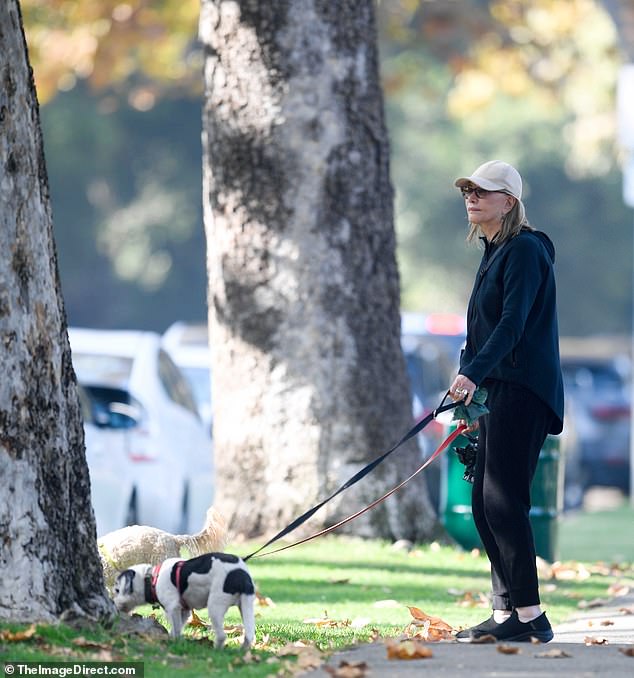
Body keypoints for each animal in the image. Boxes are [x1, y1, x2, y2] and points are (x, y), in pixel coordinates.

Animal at [113, 552, 254, 648]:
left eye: (117, 590)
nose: (114, 604)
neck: (150, 578)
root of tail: (241, 575)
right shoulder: (184, 611)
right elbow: (179, 627)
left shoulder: (173, 608)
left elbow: (176, 628)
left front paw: (174, 642)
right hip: (246, 606)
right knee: (249, 636)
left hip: (215, 607)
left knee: (221, 636)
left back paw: (217, 650)